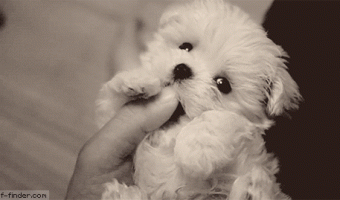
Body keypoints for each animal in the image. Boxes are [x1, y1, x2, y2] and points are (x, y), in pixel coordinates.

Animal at [95, 0, 300, 199]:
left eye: (222, 84)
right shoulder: (109, 118)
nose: (182, 69)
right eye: (185, 46)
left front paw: (195, 151)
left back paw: (253, 189)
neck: (172, 128)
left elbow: (217, 118)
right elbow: (113, 102)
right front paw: (137, 80)